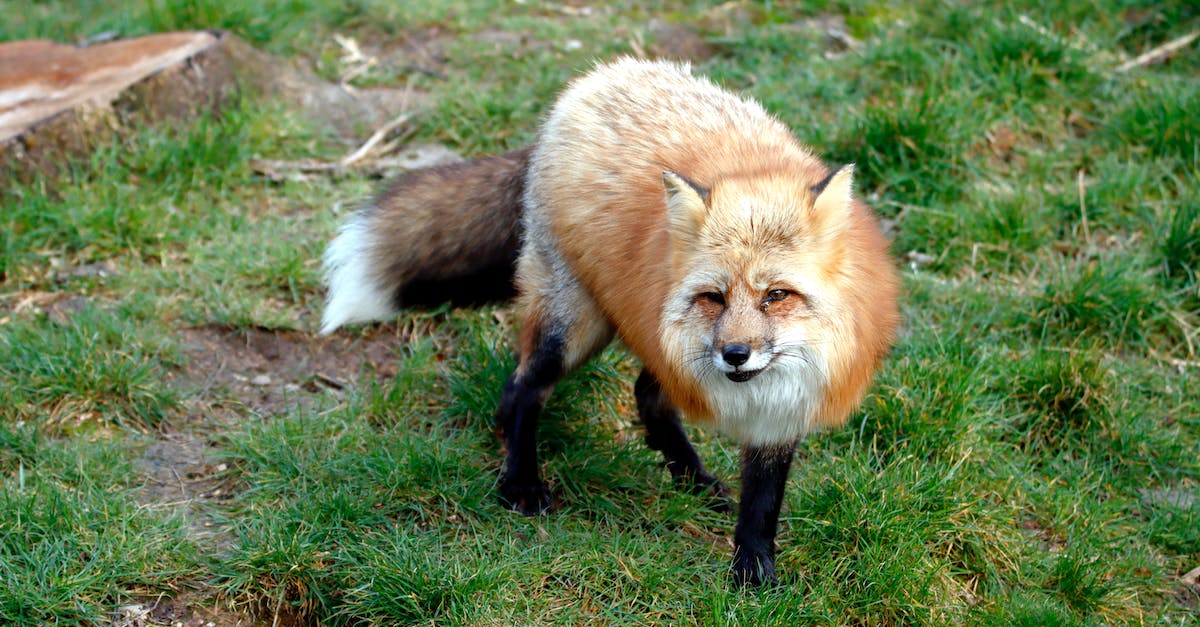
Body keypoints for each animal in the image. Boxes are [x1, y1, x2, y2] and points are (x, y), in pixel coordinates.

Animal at [321, 57, 900, 586]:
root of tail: (590, 82)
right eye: (713, 297)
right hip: (576, 325)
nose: (734, 355)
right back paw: (521, 483)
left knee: (642, 393)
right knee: (522, 388)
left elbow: (761, 502)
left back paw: (690, 479)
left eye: (777, 295)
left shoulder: (787, 403)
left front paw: (754, 573)